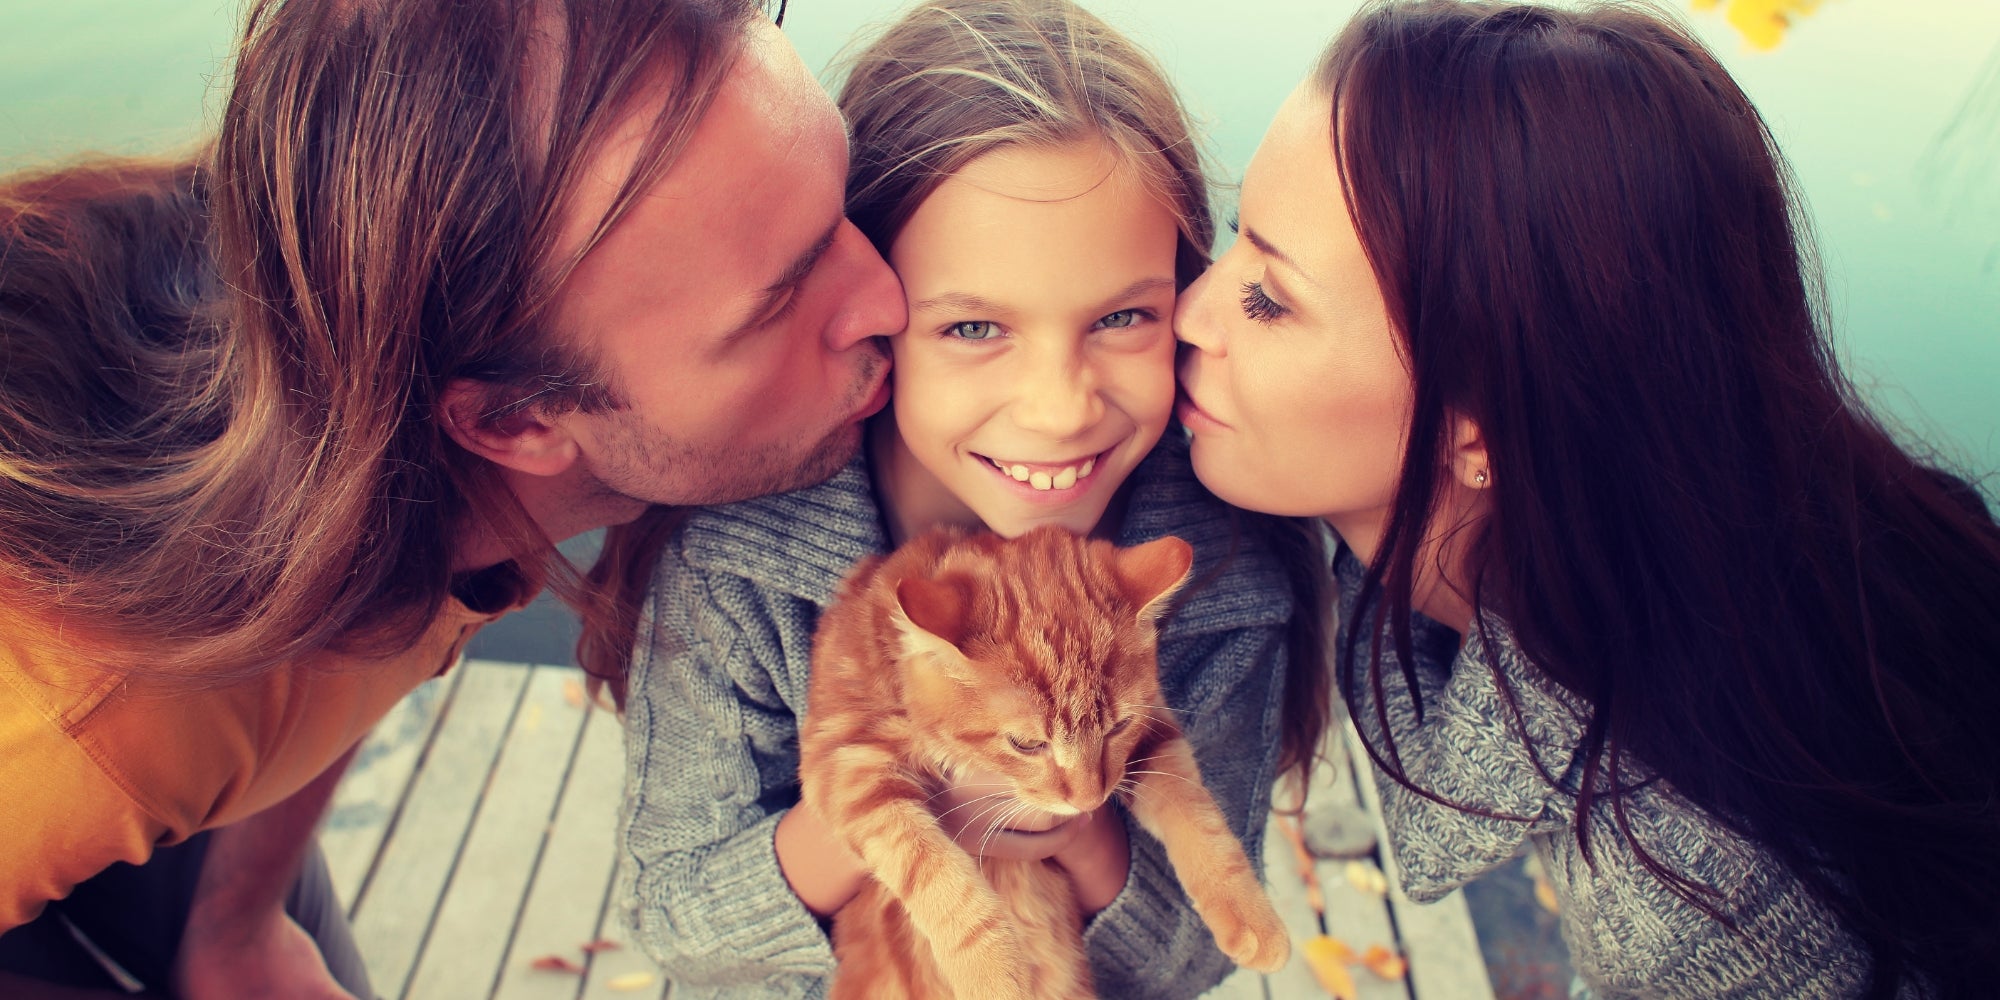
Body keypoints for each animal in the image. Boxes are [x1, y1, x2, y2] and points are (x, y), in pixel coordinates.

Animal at [800, 524, 1296, 1000]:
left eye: (1119, 726)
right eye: (1025, 744)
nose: (1090, 800)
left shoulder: (1152, 734)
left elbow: (1196, 813)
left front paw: (1250, 914)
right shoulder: (845, 764)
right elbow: (932, 871)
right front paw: (993, 974)